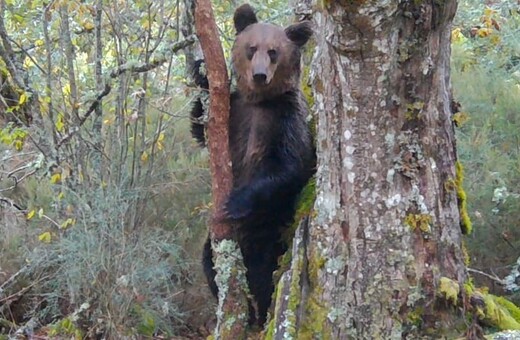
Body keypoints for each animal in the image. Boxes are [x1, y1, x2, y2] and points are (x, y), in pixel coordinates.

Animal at [190, 3, 312, 326]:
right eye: (251, 48)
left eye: (274, 52)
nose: (259, 75)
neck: (259, 102)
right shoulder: (235, 113)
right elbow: (200, 128)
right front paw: (200, 73)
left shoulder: (286, 120)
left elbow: (290, 167)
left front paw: (235, 201)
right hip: (217, 243)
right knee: (209, 262)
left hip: (270, 231)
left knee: (264, 274)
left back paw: (258, 315)